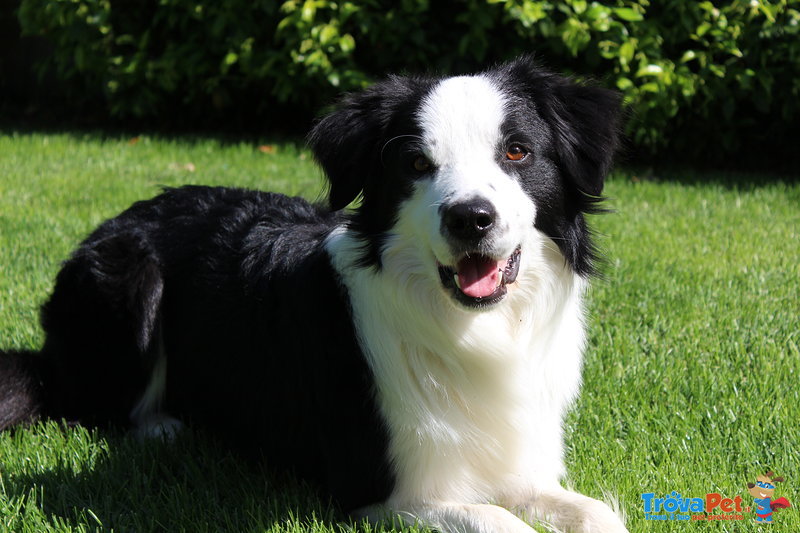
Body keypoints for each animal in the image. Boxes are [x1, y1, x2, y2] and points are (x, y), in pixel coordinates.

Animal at [0, 57, 624, 532]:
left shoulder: (518, 463)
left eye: (517, 152)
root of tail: (118, 218)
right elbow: (499, 520)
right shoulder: (382, 489)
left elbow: (597, 513)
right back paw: (163, 427)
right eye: (416, 163)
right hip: (131, 283)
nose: (470, 218)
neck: (472, 330)